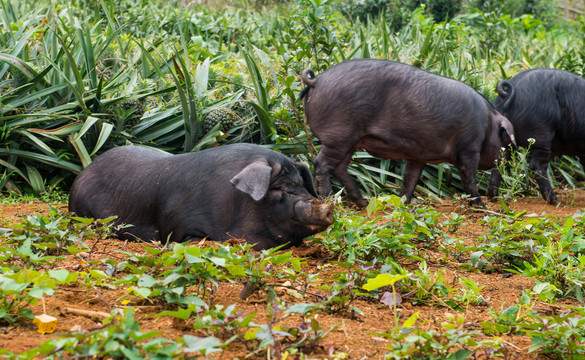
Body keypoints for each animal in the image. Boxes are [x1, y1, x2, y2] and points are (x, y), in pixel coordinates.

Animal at [302, 58, 516, 205]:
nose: (509, 161)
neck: (487, 124)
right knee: (321, 164)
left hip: (351, 141)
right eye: (506, 142)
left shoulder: (418, 155)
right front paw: (480, 205)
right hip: (339, 136)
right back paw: (329, 200)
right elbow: (469, 177)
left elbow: (410, 179)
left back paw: (363, 202)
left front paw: (403, 203)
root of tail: (318, 79)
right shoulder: (469, 149)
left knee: (340, 167)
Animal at [486, 68, 584, 205]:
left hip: (506, 139)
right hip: (541, 134)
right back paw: (554, 201)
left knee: (499, 163)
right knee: (537, 168)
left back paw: (493, 198)